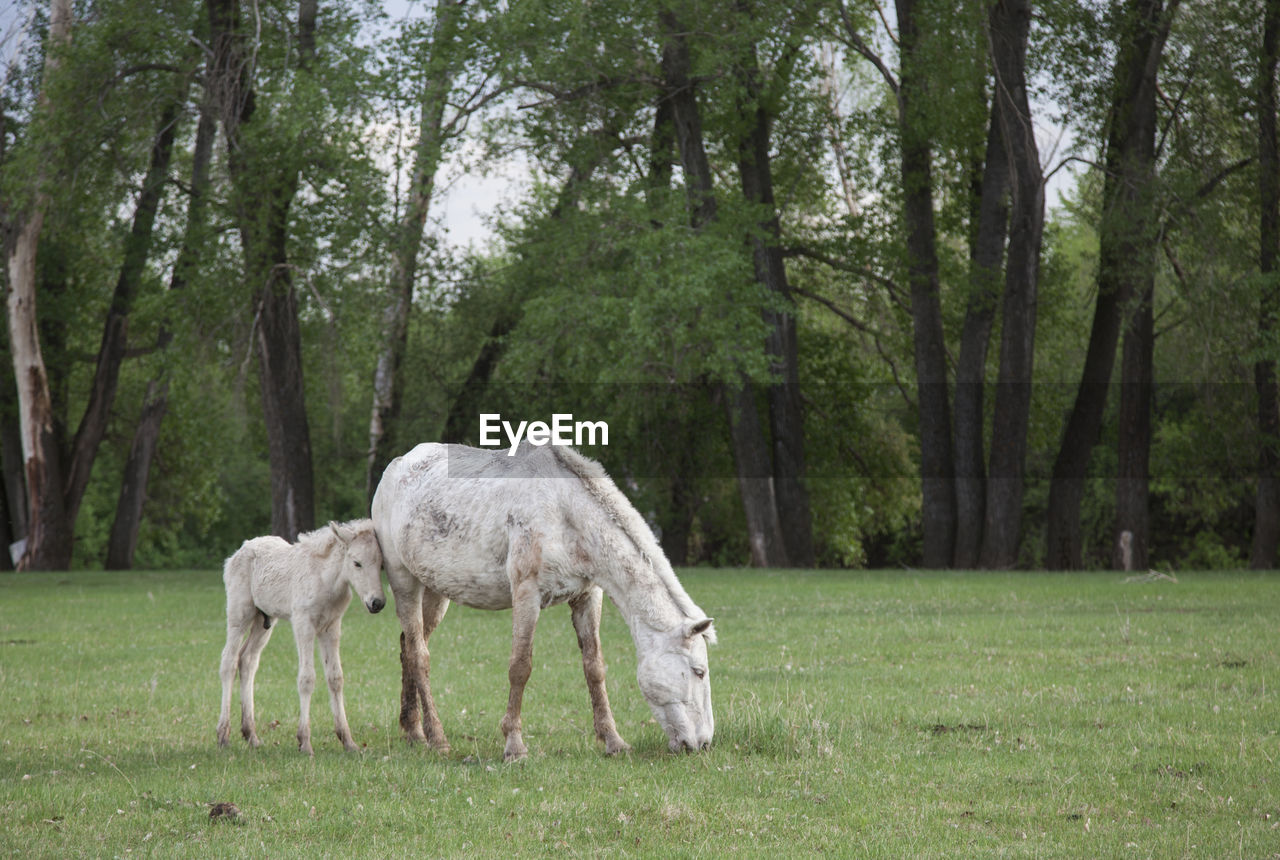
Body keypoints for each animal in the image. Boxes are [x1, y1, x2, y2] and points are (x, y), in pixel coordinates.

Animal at [217, 517, 384, 752]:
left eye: (381, 564)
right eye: (356, 563)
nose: (377, 603)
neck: (326, 580)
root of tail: (239, 551)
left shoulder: (331, 628)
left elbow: (335, 677)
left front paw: (348, 741)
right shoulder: (303, 624)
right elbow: (307, 678)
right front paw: (304, 741)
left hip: (264, 620)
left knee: (247, 660)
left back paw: (252, 736)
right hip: (239, 614)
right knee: (229, 662)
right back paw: (223, 735)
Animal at [373, 442, 721, 757]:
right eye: (699, 671)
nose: (703, 743)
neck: (565, 514)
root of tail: (396, 467)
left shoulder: (587, 596)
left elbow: (594, 668)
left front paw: (613, 741)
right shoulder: (527, 594)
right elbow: (520, 667)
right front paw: (514, 746)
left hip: (435, 590)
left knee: (408, 646)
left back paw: (413, 731)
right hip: (405, 582)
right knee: (419, 655)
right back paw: (437, 738)